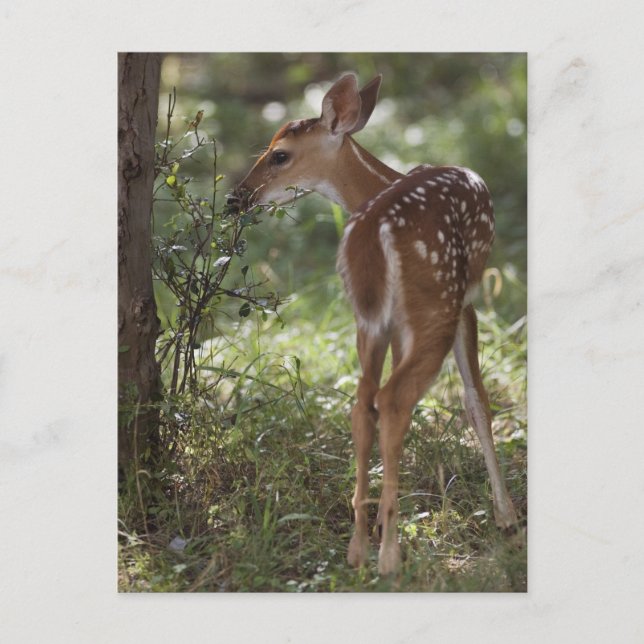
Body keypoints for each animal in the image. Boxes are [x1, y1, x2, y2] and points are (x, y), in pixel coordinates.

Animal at [231, 72, 518, 576]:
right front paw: (507, 519)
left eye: (279, 154)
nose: (234, 199)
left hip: (370, 317)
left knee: (365, 402)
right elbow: (477, 401)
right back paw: (388, 556)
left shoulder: (392, 318)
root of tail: (377, 229)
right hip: (435, 302)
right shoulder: (466, 300)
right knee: (394, 398)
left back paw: (360, 548)